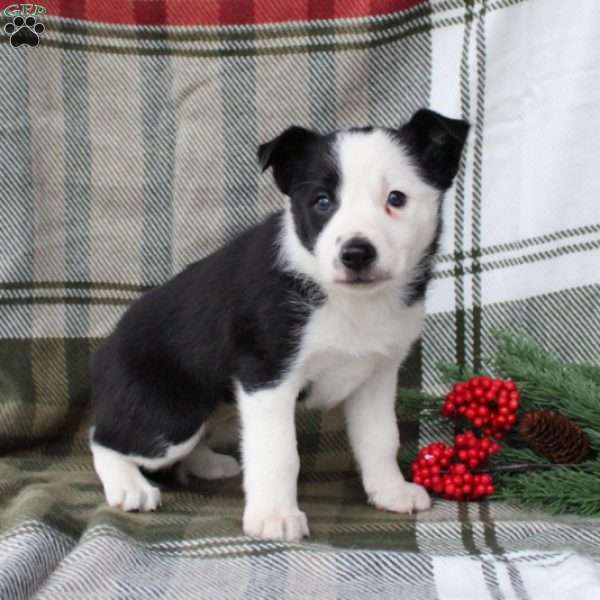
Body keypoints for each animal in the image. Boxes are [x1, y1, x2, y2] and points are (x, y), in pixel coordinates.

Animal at [91, 109, 472, 544]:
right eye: (322, 202)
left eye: (397, 199)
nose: (356, 253)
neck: (348, 300)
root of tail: (104, 350)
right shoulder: (268, 377)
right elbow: (279, 452)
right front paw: (274, 515)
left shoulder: (376, 376)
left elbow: (380, 437)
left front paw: (390, 491)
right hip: (170, 417)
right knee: (104, 439)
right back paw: (129, 486)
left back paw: (208, 464)